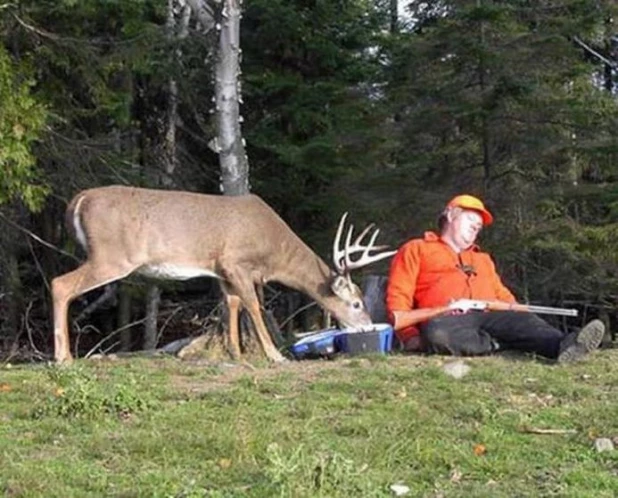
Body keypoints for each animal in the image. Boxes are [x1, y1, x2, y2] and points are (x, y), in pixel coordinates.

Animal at [50, 185, 392, 364]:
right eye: (356, 303)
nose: (367, 326)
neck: (272, 251)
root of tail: (79, 200)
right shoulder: (235, 261)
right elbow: (254, 305)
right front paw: (274, 354)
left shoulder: (221, 271)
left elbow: (232, 305)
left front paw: (236, 353)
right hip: (112, 255)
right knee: (59, 284)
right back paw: (64, 358)